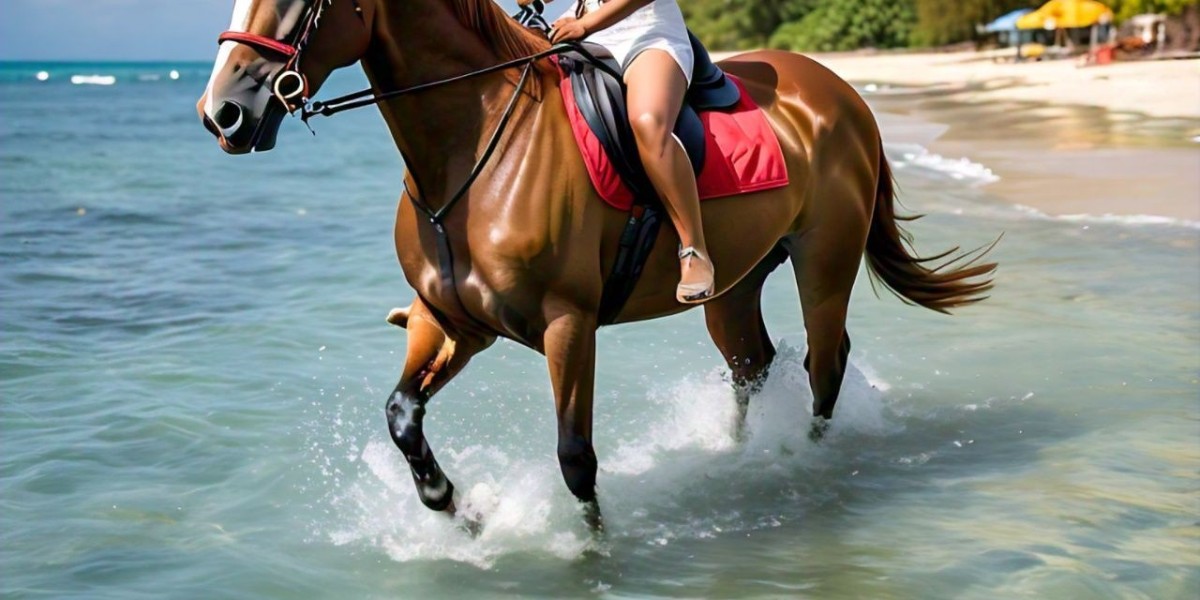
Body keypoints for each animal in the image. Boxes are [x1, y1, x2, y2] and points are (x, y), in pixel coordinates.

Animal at [201, 0, 998, 525]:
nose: (223, 113)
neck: (476, 147)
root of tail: (841, 93)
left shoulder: (567, 325)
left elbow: (575, 458)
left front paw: (592, 553)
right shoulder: (453, 322)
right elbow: (402, 415)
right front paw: (454, 507)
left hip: (824, 264)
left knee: (823, 366)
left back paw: (809, 463)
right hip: (734, 287)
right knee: (754, 366)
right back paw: (742, 461)